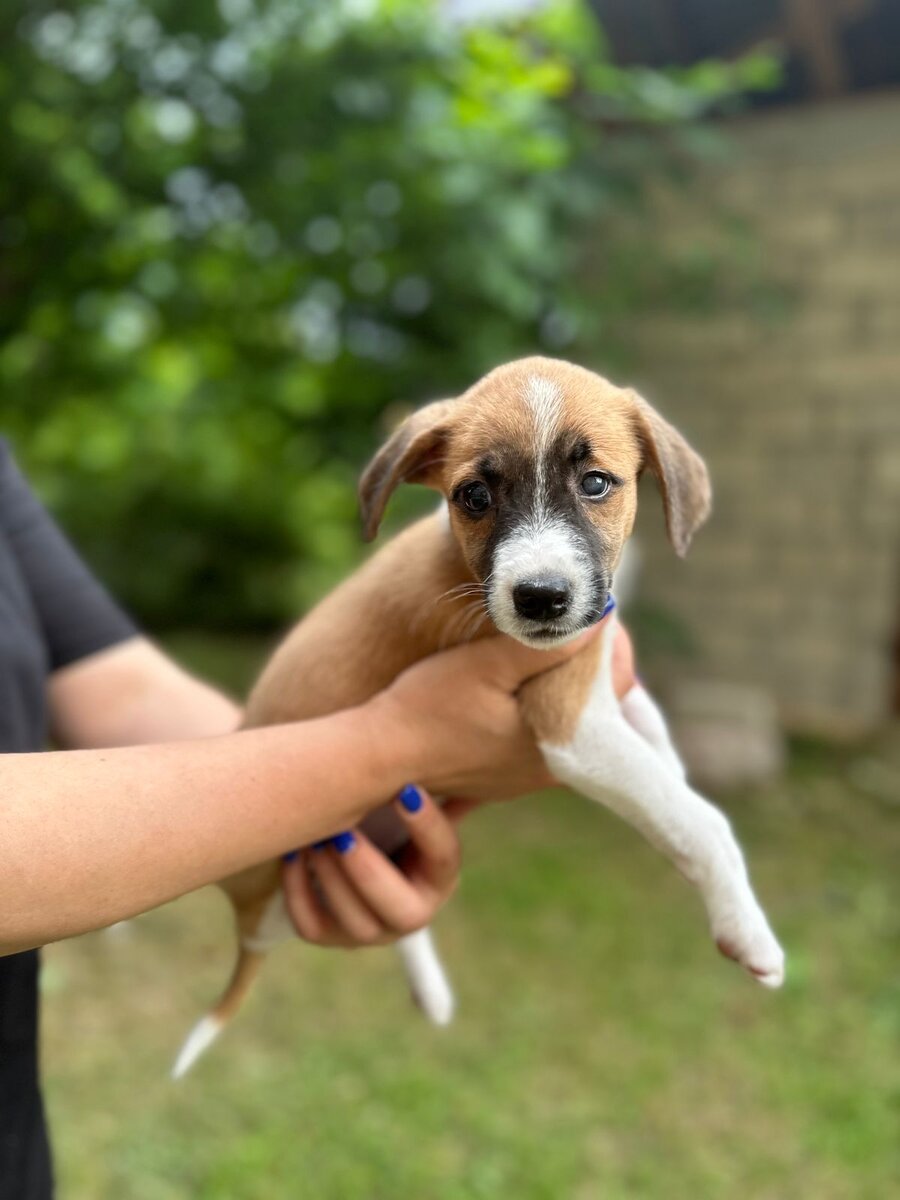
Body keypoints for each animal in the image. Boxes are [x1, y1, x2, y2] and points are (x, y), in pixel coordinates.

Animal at [172, 355, 787, 1080]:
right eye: (472, 496)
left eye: (596, 483)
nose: (541, 599)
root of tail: (245, 925)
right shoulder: (573, 721)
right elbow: (701, 819)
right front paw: (747, 930)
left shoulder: (604, 685)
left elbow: (664, 758)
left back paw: (431, 991)